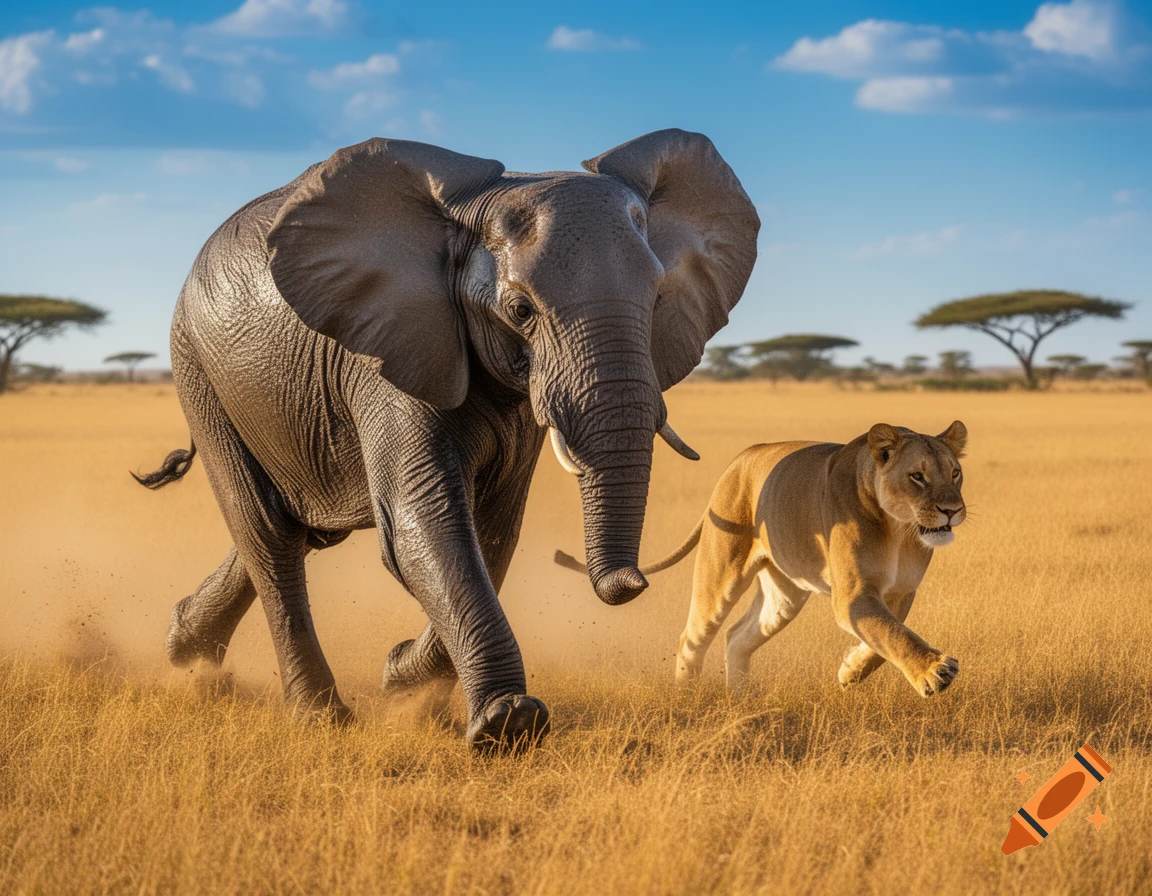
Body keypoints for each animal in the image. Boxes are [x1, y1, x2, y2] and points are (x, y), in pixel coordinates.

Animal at [137, 128, 759, 751]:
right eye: (519, 310)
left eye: (657, 300)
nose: (629, 583)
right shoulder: (388, 354)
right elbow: (424, 527)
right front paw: (508, 723)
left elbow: (493, 532)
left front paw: (401, 681)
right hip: (199, 371)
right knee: (269, 534)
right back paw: (317, 716)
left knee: (304, 525)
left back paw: (186, 650)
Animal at [556, 421, 968, 697]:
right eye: (917, 476)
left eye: (955, 473)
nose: (952, 511)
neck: (899, 530)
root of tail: (739, 460)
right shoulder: (852, 596)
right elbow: (892, 634)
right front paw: (935, 671)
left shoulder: (900, 592)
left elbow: (886, 638)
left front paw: (851, 671)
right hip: (720, 575)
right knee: (693, 636)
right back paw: (687, 698)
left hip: (783, 596)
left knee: (738, 636)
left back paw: (742, 700)